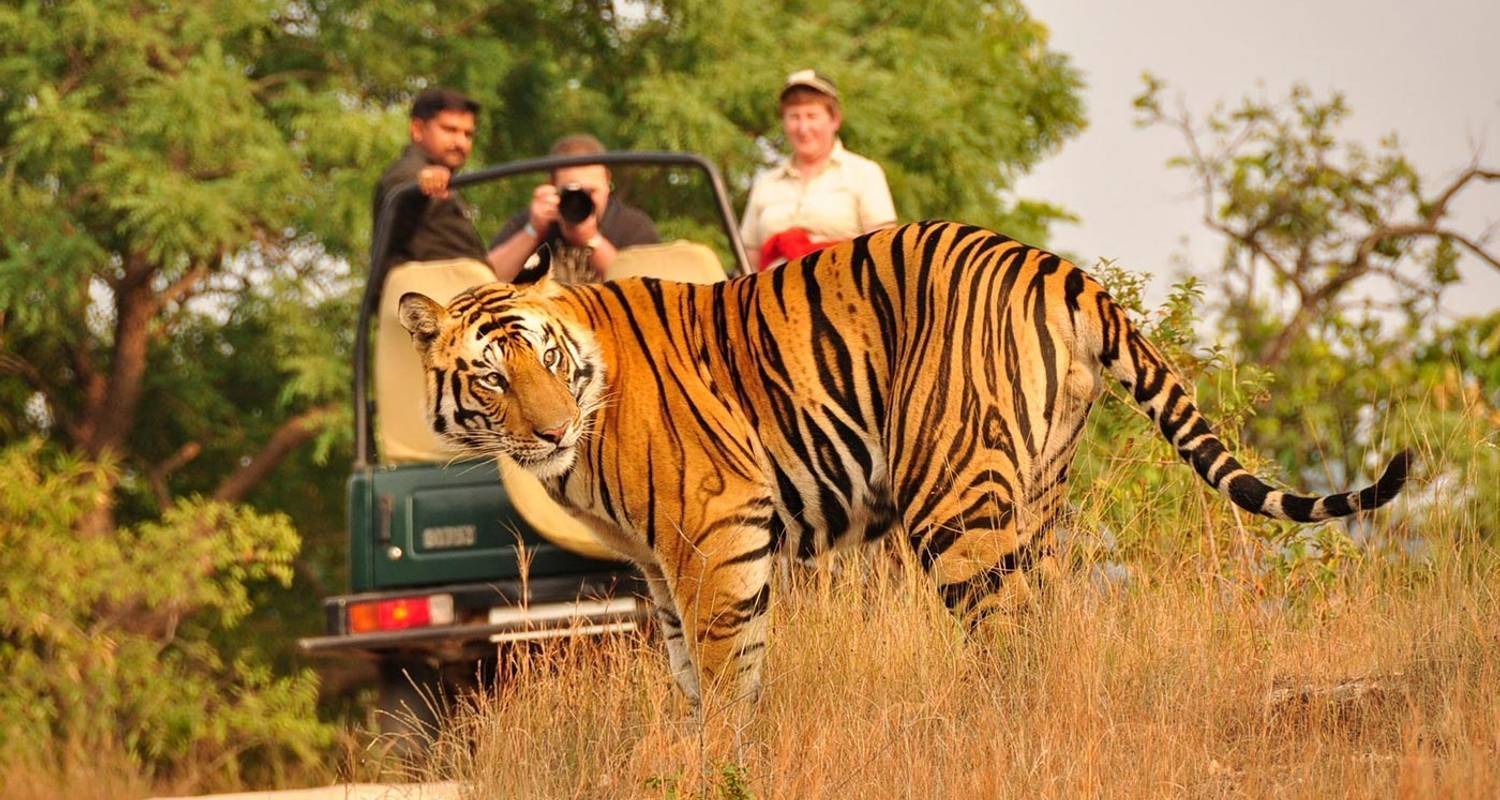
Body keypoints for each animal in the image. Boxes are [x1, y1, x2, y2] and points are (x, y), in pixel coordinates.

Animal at [396, 217, 1404, 705]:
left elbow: (726, 674)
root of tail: (1058, 266)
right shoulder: (659, 563)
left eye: (545, 358)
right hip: (1038, 495)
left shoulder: (715, 529)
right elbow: (694, 672)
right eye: (491, 377)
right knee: (1048, 623)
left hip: (951, 497)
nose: (551, 431)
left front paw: (723, 759)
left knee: (1006, 635)